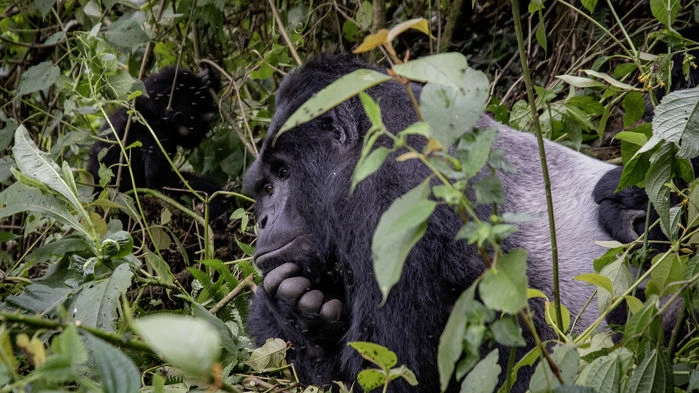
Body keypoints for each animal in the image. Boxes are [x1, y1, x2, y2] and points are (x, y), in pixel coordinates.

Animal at [87, 66, 224, 216]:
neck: (153, 113)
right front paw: (212, 193)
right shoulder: (157, 134)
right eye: (199, 126)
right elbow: (157, 179)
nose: (202, 133)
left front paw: (209, 79)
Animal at [245, 56, 616, 392]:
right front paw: (300, 314)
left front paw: (281, 311)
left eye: (283, 173)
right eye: (265, 189)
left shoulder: (394, 196)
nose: (262, 221)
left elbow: (390, 372)